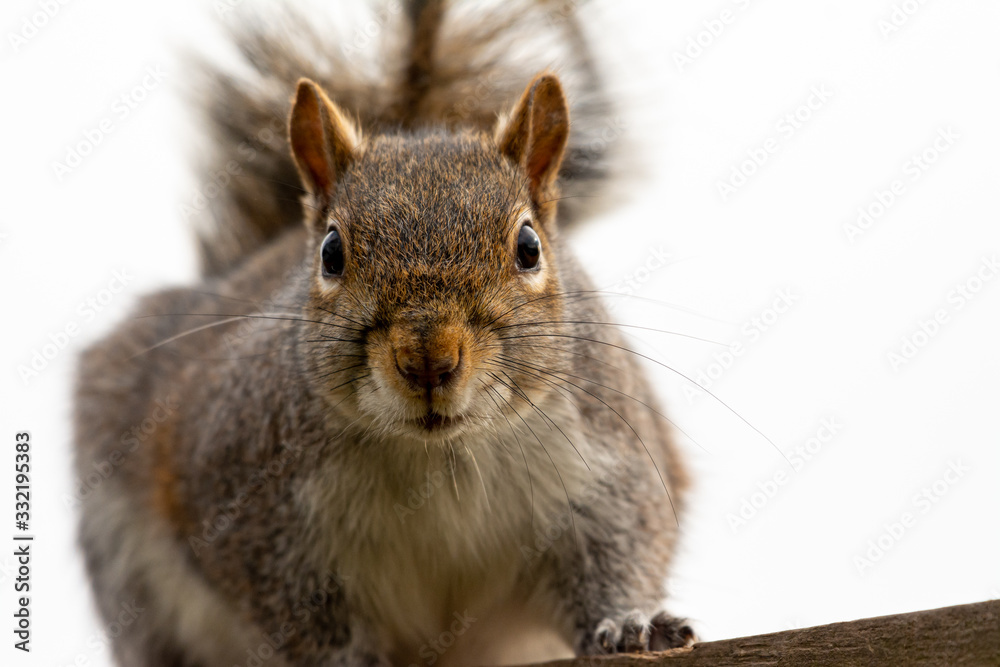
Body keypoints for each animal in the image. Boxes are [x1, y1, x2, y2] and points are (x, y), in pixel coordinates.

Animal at [73, 1, 693, 665]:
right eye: (331, 253)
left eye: (529, 247)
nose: (427, 358)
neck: (438, 453)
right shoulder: (251, 507)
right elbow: (300, 615)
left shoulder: (605, 465)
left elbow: (620, 550)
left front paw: (627, 623)